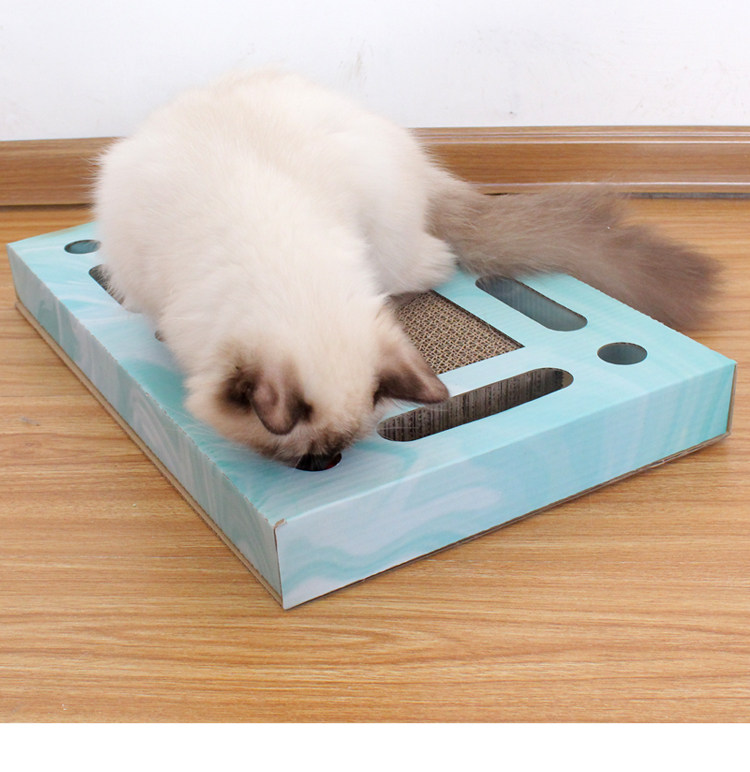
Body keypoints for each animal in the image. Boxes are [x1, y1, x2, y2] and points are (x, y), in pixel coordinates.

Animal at [94, 69, 718, 468]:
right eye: (301, 452)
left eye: (323, 454)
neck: (272, 258)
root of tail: (420, 169)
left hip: (390, 242)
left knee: (435, 261)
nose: (321, 465)